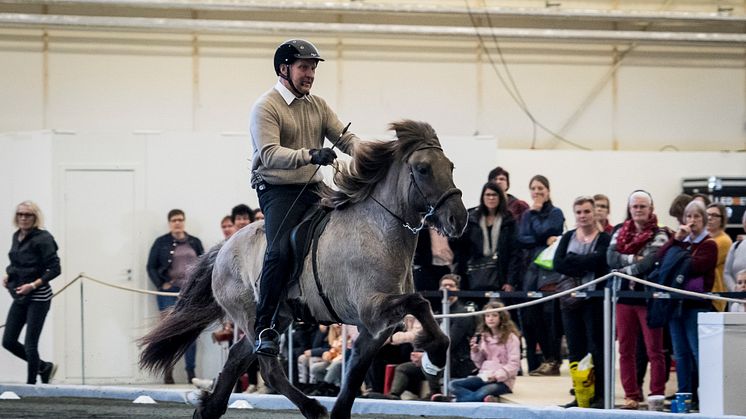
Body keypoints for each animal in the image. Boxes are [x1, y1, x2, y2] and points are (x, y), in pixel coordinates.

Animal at [140, 120, 464, 419]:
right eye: (422, 169)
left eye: (450, 166)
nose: (458, 220)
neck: (380, 230)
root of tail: (224, 247)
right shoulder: (373, 309)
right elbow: (420, 303)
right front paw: (434, 357)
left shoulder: (376, 327)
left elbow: (354, 372)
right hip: (250, 316)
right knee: (269, 368)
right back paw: (311, 407)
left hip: (277, 317)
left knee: (236, 357)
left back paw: (209, 409)